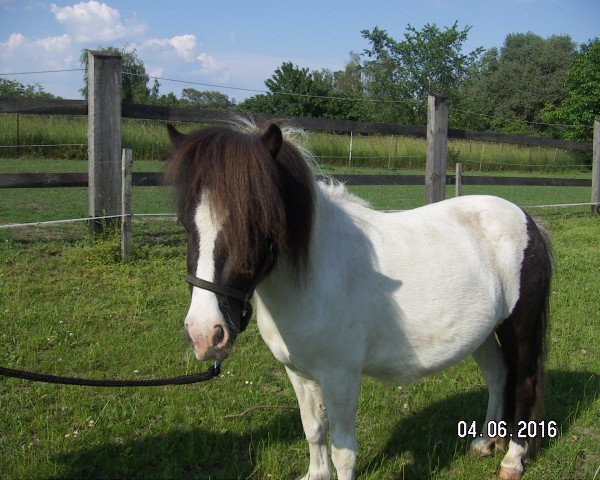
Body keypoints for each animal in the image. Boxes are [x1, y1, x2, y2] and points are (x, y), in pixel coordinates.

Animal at [165, 119, 552, 480]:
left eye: (256, 222)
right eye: (185, 222)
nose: (204, 334)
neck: (315, 279)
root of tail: (527, 219)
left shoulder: (341, 377)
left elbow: (343, 451)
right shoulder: (298, 373)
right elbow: (313, 429)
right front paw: (316, 473)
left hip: (520, 326)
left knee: (524, 383)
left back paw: (512, 460)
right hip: (482, 332)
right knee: (498, 376)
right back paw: (484, 442)